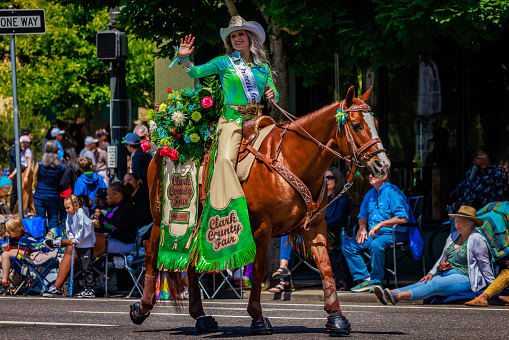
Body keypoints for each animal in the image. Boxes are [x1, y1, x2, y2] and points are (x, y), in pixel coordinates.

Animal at [135, 86, 388, 336]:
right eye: (356, 125)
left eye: (375, 121)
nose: (382, 164)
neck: (292, 159)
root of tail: (162, 150)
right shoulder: (262, 228)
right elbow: (258, 270)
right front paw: (257, 318)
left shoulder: (314, 227)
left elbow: (326, 268)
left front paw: (336, 317)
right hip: (161, 221)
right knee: (150, 253)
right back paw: (142, 308)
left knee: (190, 264)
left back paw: (201, 317)